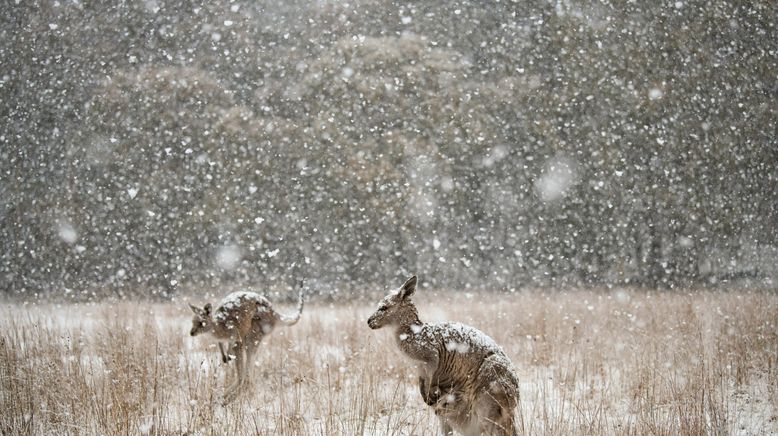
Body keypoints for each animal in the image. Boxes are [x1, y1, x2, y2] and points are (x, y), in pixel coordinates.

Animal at [366, 276, 520, 436]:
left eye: (383, 308)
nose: (369, 322)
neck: (412, 333)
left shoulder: (430, 356)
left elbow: (431, 371)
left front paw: (429, 395)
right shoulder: (420, 368)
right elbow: (422, 382)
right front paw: (427, 396)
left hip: (488, 388)